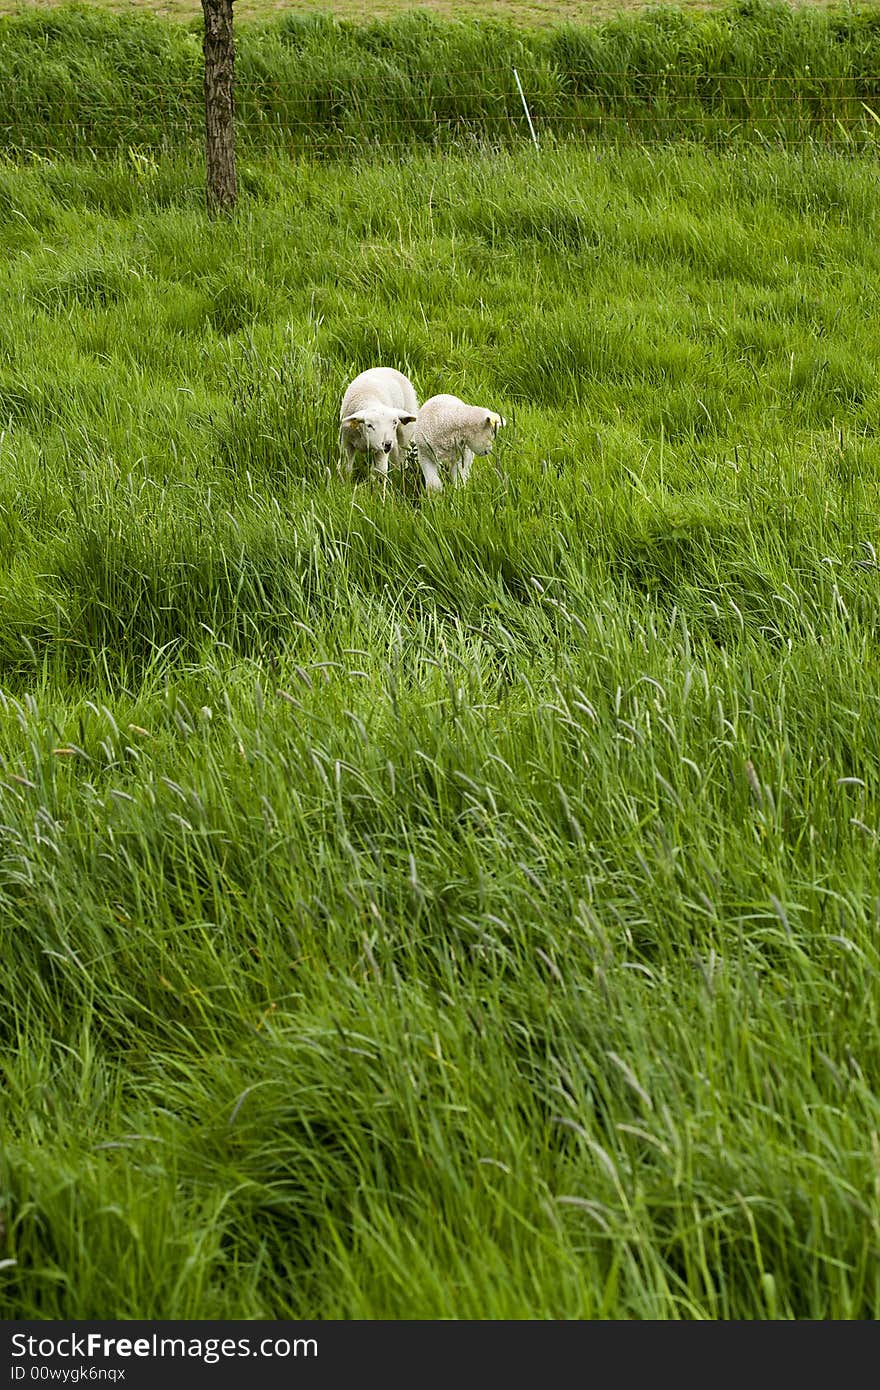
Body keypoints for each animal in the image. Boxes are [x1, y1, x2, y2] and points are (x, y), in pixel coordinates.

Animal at [336, 369, 419, 500]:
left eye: (395, 422)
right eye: (369, 425)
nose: (387, 444)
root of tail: (386, 367)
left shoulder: (381, 451)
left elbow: (380, 471)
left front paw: (379, 497)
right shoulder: (346, 442)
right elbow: (346, 467)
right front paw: (345, 487)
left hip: (406, 432)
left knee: (404, 454)